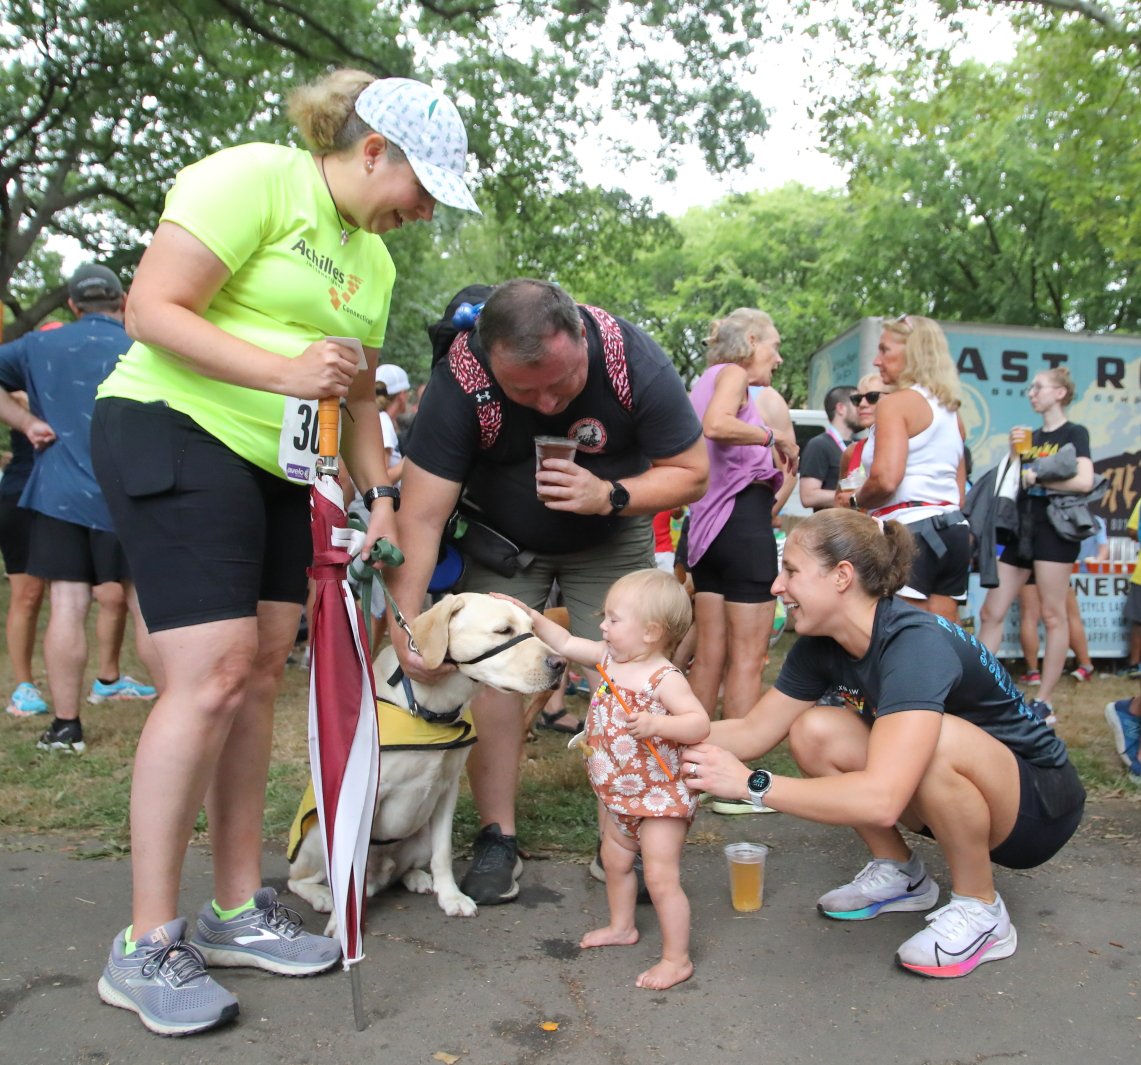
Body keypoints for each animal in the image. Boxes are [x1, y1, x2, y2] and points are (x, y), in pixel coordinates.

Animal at [289, 593, 565, 926]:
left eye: (532, 628)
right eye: (503, 631)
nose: (561, 664)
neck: (429, 706)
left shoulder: (447, 790)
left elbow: (443, 853)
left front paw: (451, 897)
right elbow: (355, 868)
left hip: (420, 835)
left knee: (400, 869)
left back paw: (416, 877)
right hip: (316, 835)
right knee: (298, 878)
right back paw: (322, 896)